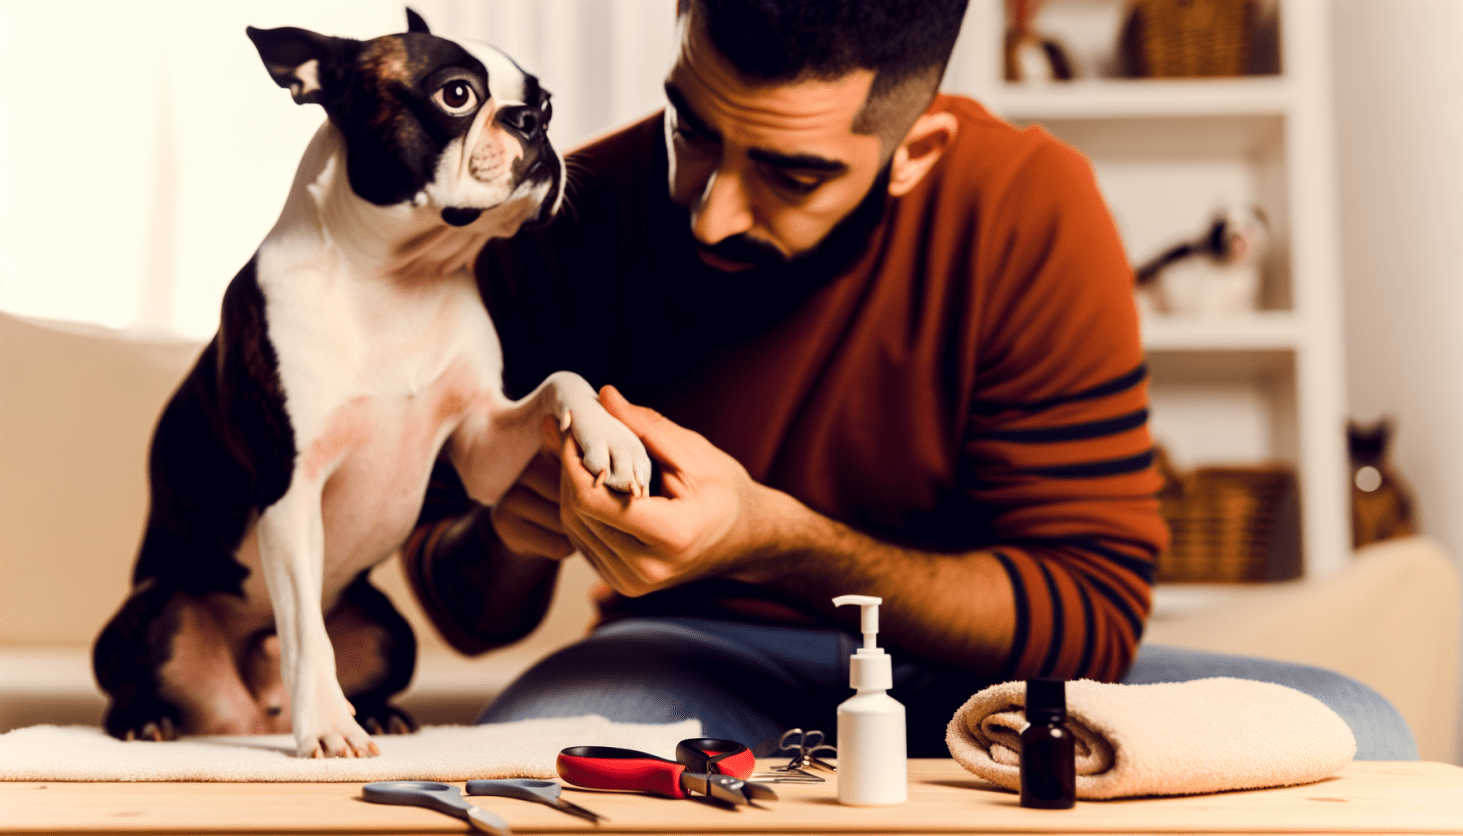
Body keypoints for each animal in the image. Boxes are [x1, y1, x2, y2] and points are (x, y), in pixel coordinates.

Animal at [88, 11, 643, 761]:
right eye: (457, 95)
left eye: (547, 103)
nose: (533, 122)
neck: (395, 280)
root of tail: (252, 714)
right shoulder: (292, 491)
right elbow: (304, 631)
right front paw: (326, 725)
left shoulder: (482, 442)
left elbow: (563, 378)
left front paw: (609, 437)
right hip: (156, 606)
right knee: (147, 670)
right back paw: (147, 720)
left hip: (389, 626)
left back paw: (381, 713)